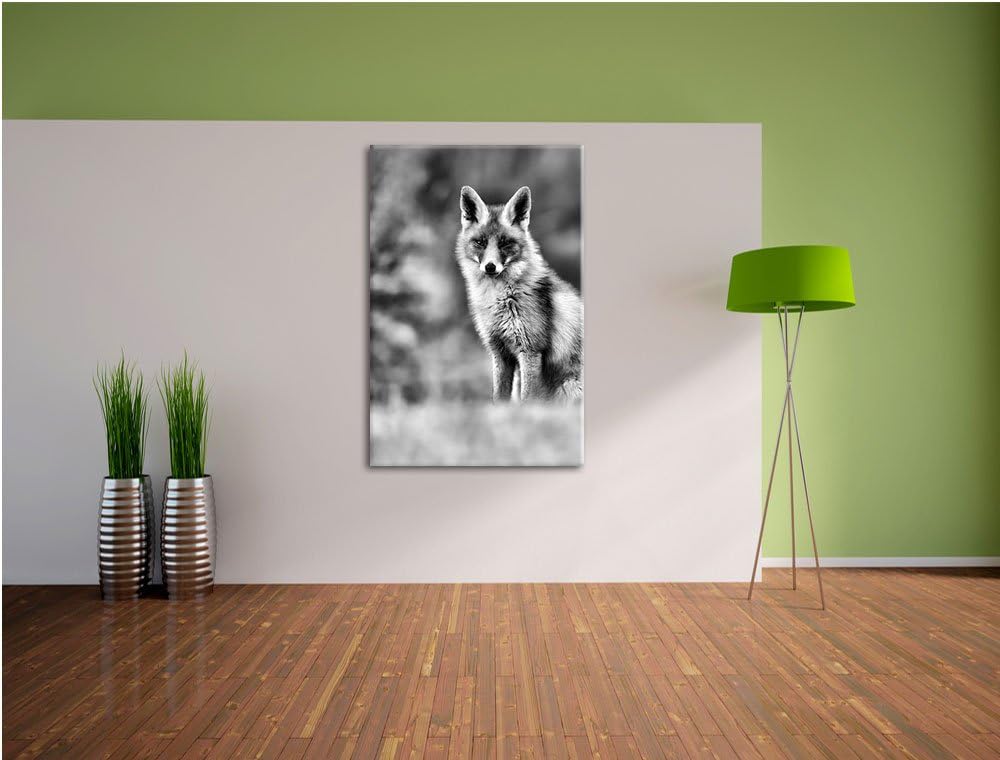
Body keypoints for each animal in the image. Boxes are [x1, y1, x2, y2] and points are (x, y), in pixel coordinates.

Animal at [455, 185, 583, 403]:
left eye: (505, 243)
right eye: (480, 242)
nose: (490, 267)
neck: (499, 299)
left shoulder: (530, 350)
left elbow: (527, 399)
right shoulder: (499, 352)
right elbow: (498, 398)